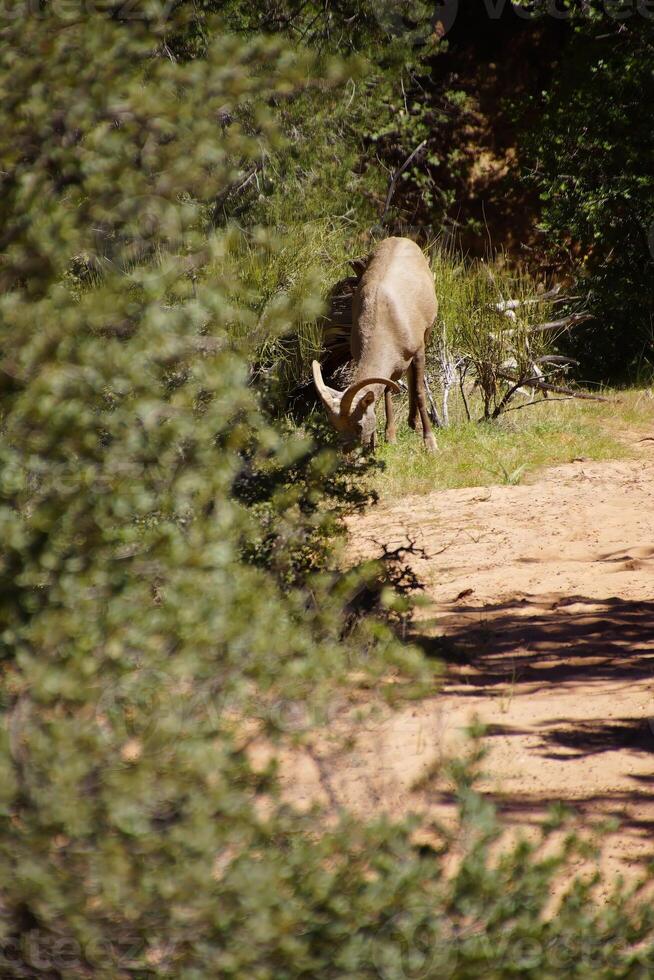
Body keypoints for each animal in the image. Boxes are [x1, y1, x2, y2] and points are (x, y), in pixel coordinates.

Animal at [314, 237, 438, 452]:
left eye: (358, 424)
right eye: (336, 426)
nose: (347, 451)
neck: (384, 320)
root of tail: (402, 239)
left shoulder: (419, 351)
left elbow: (420, 391)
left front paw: (430, 443)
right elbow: (387, 390)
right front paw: (388, 437)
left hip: (427, 333)